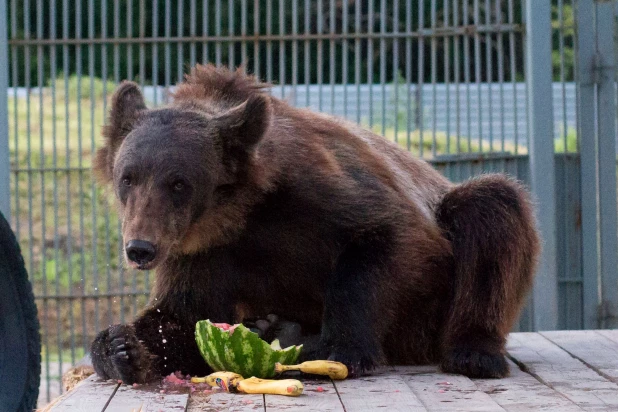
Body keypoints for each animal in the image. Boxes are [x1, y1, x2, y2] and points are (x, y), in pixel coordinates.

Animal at [90, 64, 540, 384]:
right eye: (128, 177)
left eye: (179, 182)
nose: (140, 248)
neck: (240, 212)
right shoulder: (203, 254)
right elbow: (182, 316)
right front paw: (121, 347)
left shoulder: (323, 194)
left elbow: (387, 240)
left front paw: (341, 349)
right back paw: (278, 326)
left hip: (433, 304)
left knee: (492, 209)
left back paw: (474, 352)